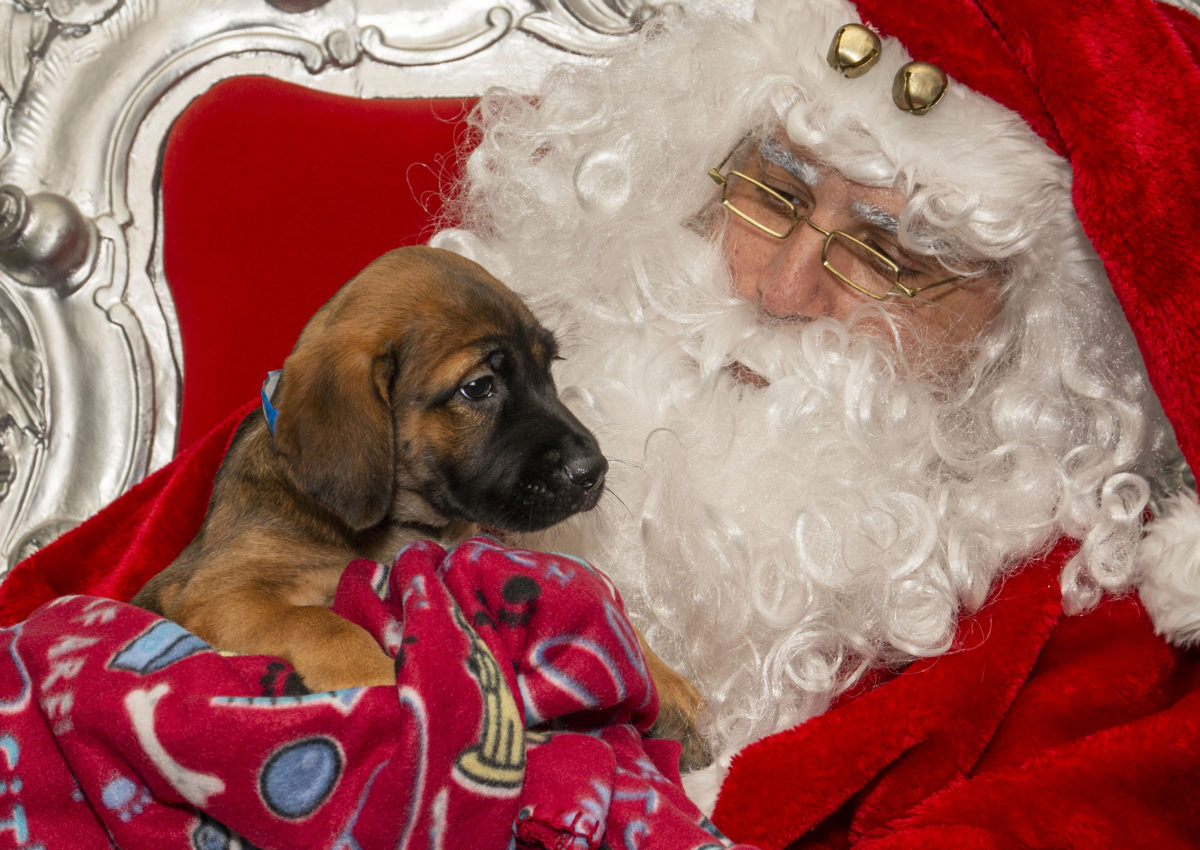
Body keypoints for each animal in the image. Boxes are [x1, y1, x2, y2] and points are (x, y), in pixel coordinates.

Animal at [131, 246, 700, 758]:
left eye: (549, 368)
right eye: (478, 387)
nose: (593, 471)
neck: (400, 526)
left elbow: (593, 598)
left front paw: (664, 678)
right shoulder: (212, 595)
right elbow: (318, 620)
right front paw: (379, 683)